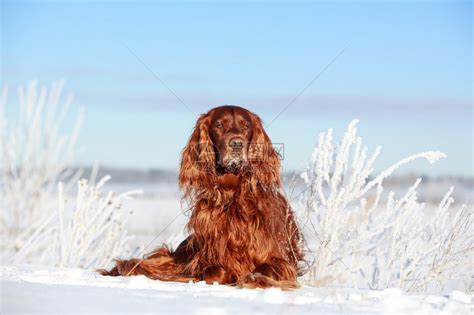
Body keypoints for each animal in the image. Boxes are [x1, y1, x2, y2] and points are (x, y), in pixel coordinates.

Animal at [102, 105, 306, 288]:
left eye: (246, 126)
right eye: (219, 125)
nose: (237, 144)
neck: (231, 194)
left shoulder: (281, 260)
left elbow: (265, 269)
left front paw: (253, 279)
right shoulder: (203, 258)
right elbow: (212, 272)